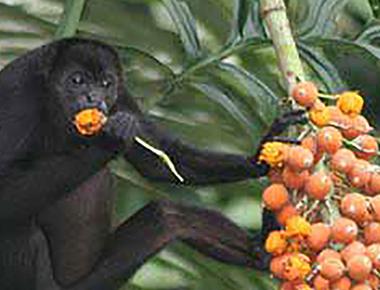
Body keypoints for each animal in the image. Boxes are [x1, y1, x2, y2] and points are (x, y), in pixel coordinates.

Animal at [0, 38, 304, 290]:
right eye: (77, 80)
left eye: (106, 83)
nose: (94, 98)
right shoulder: (18, 97)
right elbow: (7, 194)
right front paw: (109, 140)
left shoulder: (122, 95)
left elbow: (161, 160)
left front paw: (261, 155)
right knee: (16, 225)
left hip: (98, 281)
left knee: (168, 216)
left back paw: (260, 252)